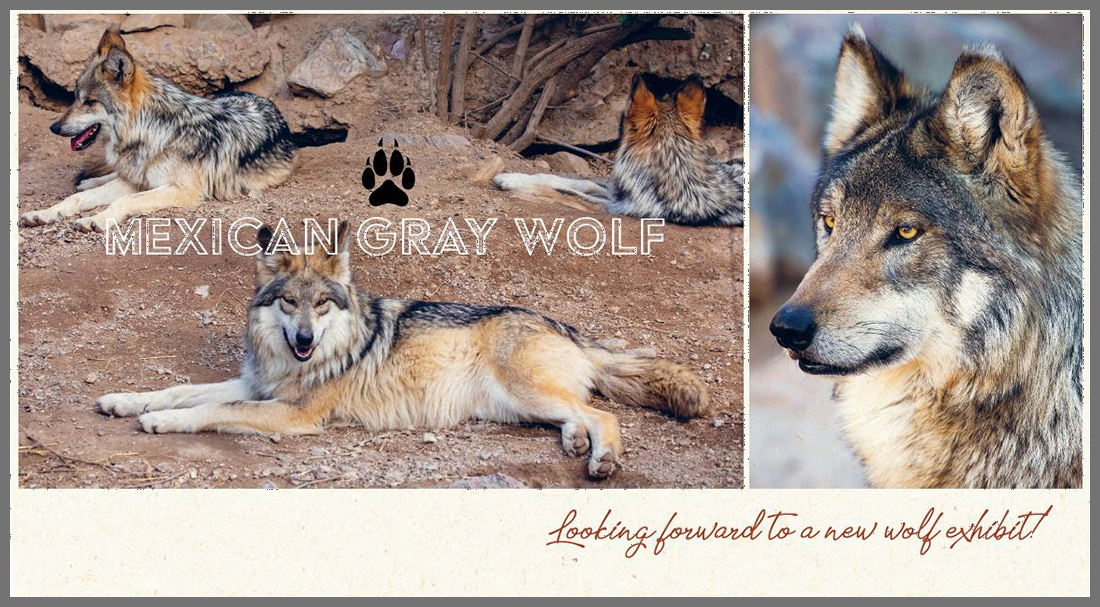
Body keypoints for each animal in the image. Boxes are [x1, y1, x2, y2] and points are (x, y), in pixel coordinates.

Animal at [19, 28, 296, 233]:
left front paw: (96, 219)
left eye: (89, 102)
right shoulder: (139, 182)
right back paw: (88, 181)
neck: (154, 133)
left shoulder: (182, 190)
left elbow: (127, 200)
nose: (54, 127)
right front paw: (43, 213)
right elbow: (77, 199)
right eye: (75, 98)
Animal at [93, 221, 709, 479]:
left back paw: (601, 459)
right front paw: (125, 401)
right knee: (577, 415)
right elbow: (180, 388)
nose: (304, 341)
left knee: (603, 413)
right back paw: (577, 444)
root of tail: (567, 326)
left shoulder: (292, 414)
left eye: (322, 304)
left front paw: (163, 423)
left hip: (522, 391)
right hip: (518, 406)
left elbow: (213, 407)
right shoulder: (256, 383)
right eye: (289, 302)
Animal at [493, 74, 745, 227]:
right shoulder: (616, 193)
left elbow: (564, 190)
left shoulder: (615, 206)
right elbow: (577, 182)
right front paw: (519, 175)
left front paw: (512, 180)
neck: (675, 168)